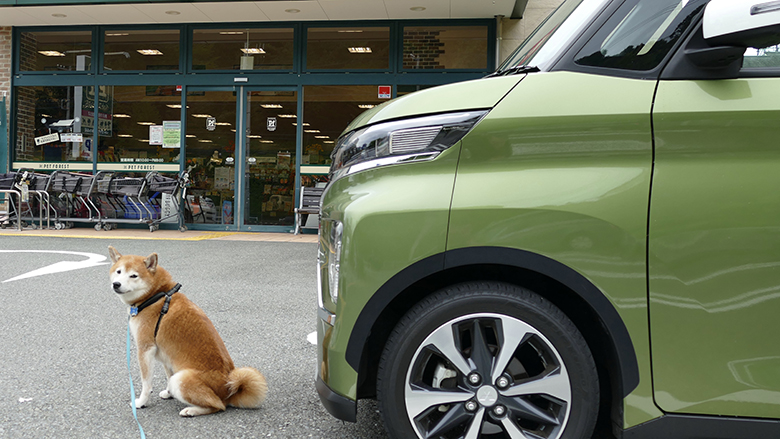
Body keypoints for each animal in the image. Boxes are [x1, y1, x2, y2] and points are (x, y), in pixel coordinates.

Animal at [108, 246, 268, 418]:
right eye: (118, 271)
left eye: (133, 275)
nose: (116, 284)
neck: (155, 295)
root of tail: (228, 391)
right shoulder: (166, 354)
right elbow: (167, 374)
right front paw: (168, 393)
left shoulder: (146, 348)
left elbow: (146, 384)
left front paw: (140, 402)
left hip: (181, 379)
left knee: (218, 405)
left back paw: (191, 410)